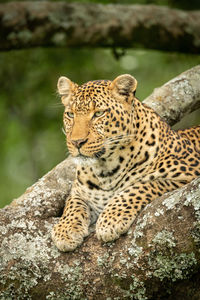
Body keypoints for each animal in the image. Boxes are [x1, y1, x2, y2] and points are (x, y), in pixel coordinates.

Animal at [51, 74, 200, 252]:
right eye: (70, 115)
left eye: (98, 113)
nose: (76, 142)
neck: (105, 169)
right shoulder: (79, 191)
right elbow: (73, 204)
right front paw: (65, 230)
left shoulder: (189, 172)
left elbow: (141, 186)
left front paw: (111, 219)